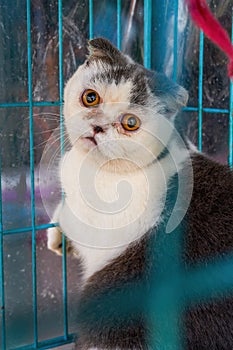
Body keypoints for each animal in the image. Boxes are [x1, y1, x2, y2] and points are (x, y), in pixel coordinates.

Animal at [46, 37, 233, 348]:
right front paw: (57, 239)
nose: (98, 127)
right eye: (90, 98)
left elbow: (70, 217)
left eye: (130, 123)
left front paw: (60, 232)